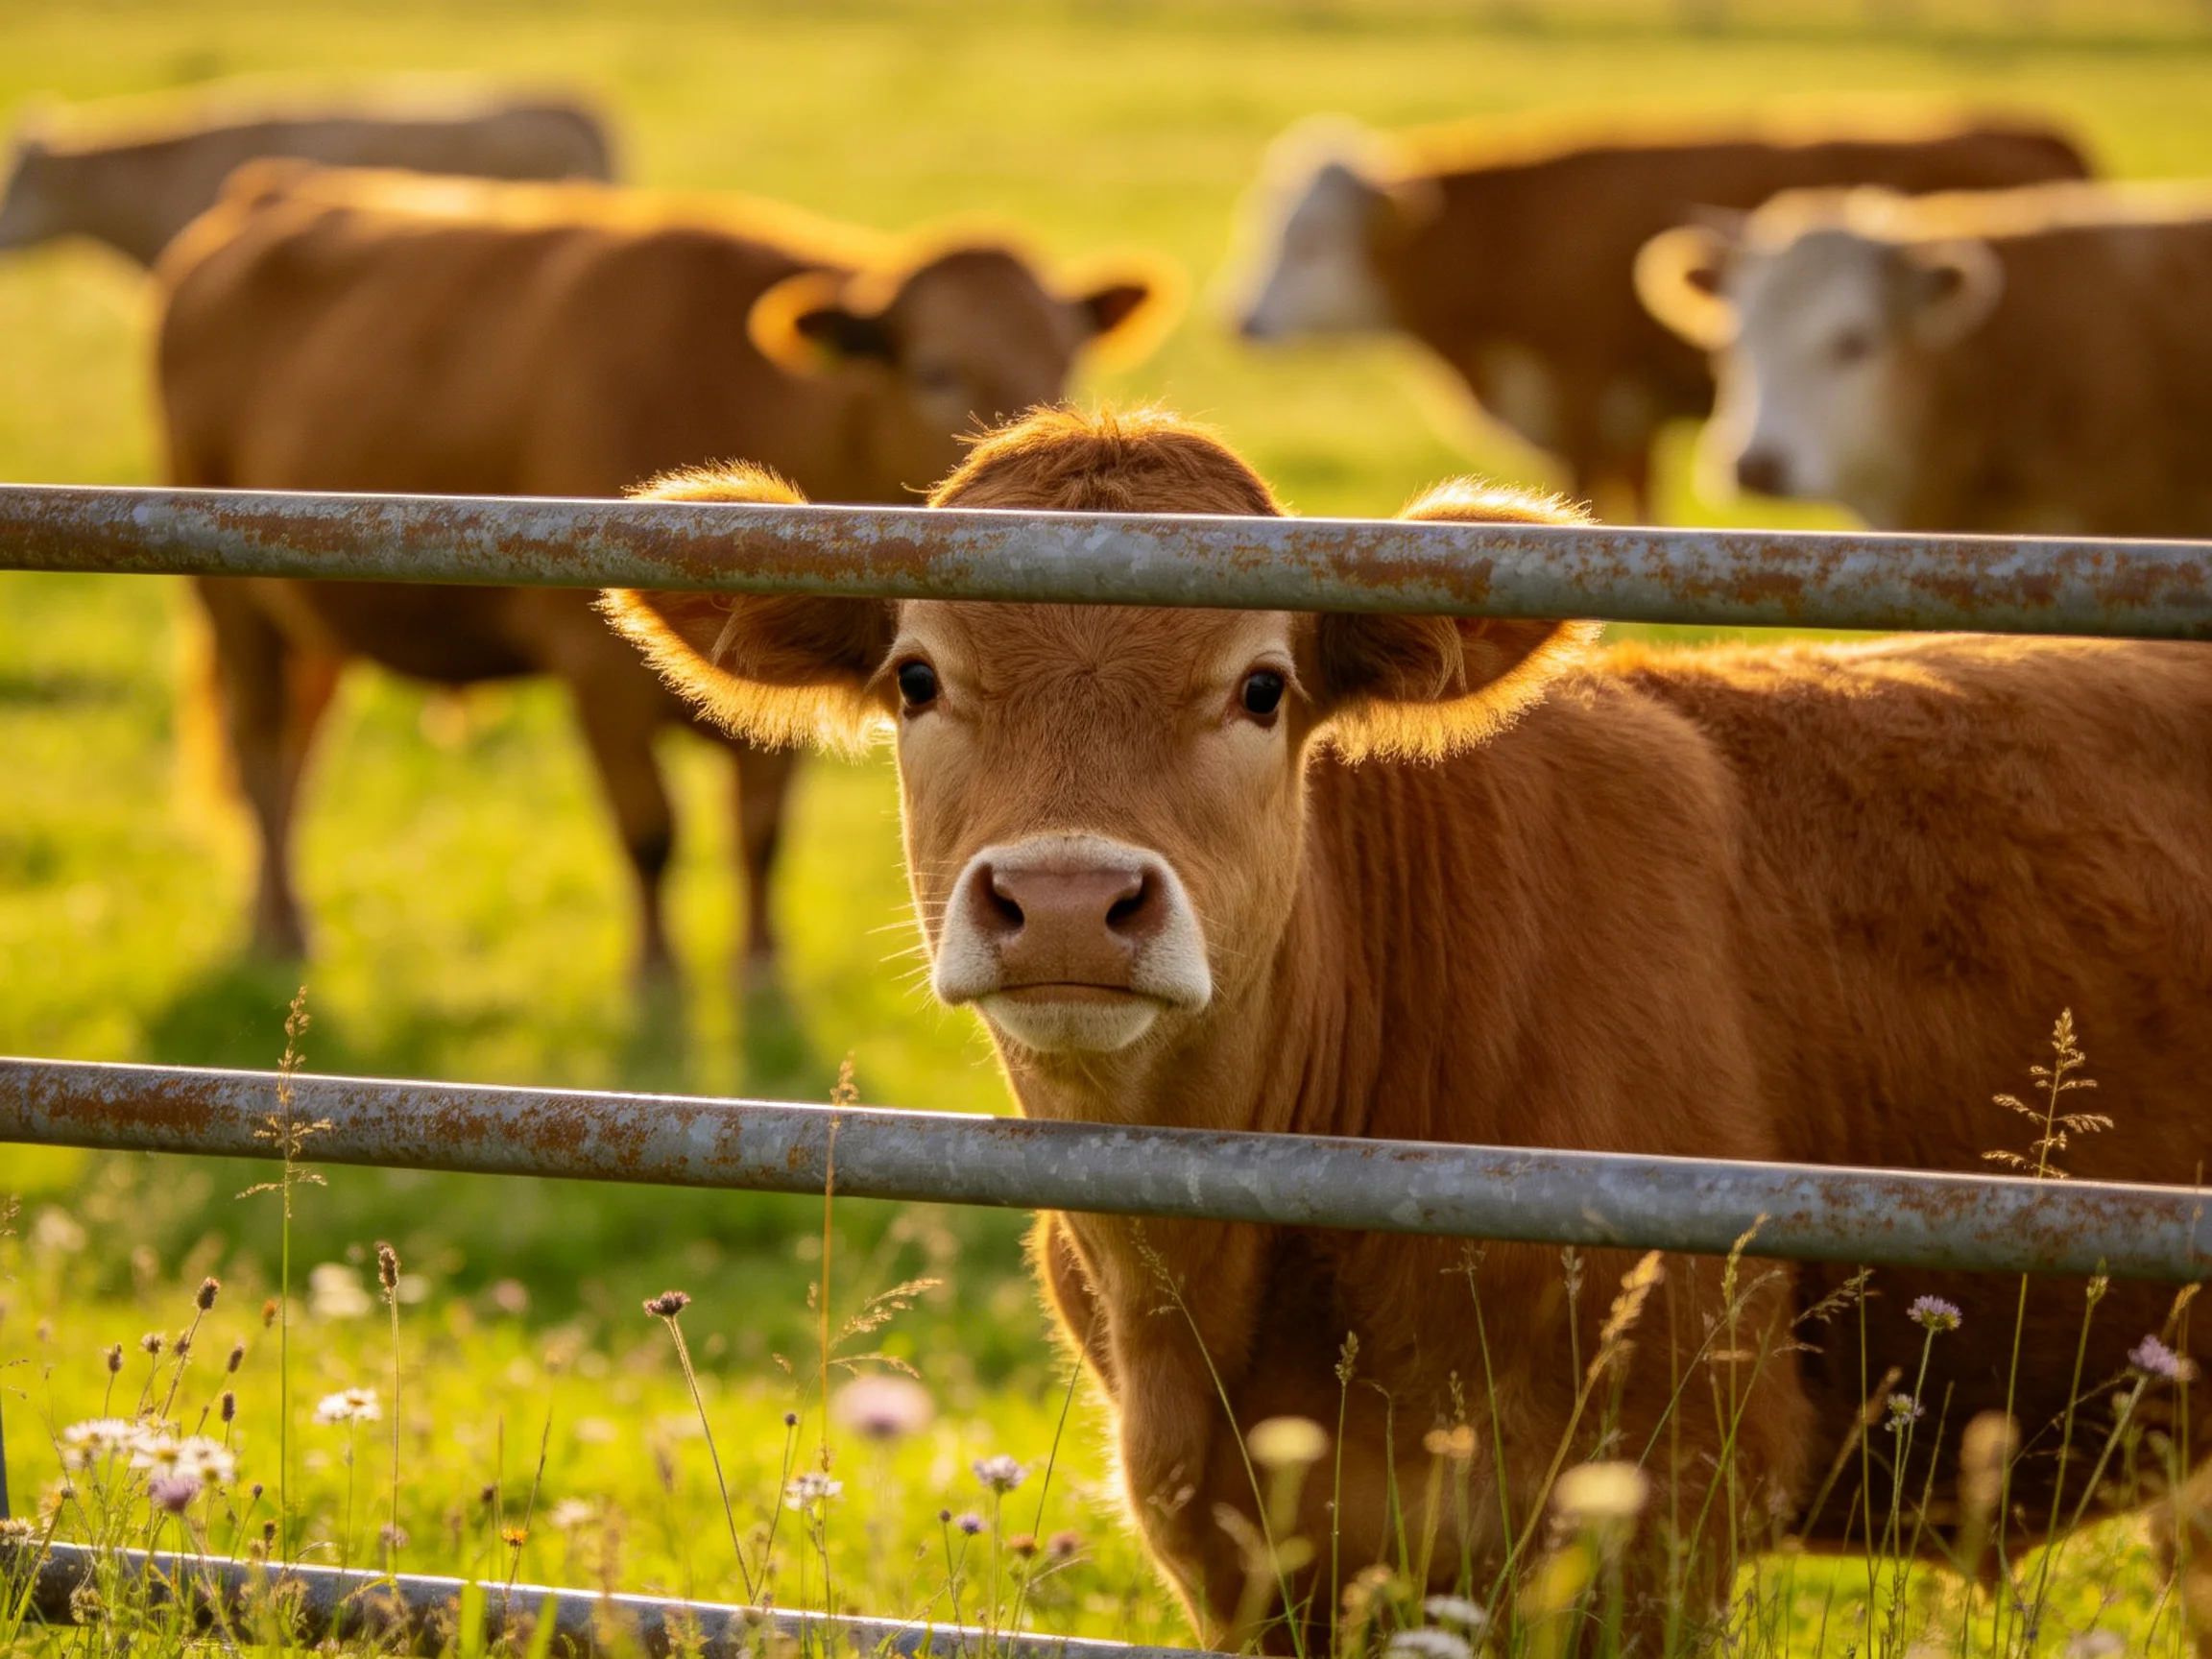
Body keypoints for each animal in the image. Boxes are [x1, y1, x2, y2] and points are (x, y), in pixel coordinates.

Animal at [156, 164, 1168, 978]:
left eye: (1066, 361)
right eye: (934, 369)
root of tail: (270, 189)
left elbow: (759, 832)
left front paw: (760, 969)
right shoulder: (595, 669)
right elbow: (650, 832)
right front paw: (656, 976)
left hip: (313, 616)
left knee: (298, 750)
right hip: (229, 599)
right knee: (258, 747)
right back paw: (281, 933)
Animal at [1226, 113, 2090, 520]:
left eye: (1308, 241)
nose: (1241, 320)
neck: (1513, 234)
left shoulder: (1580, 403)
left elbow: (1594, 503)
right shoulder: (1626, 419)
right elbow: (1634, 508)